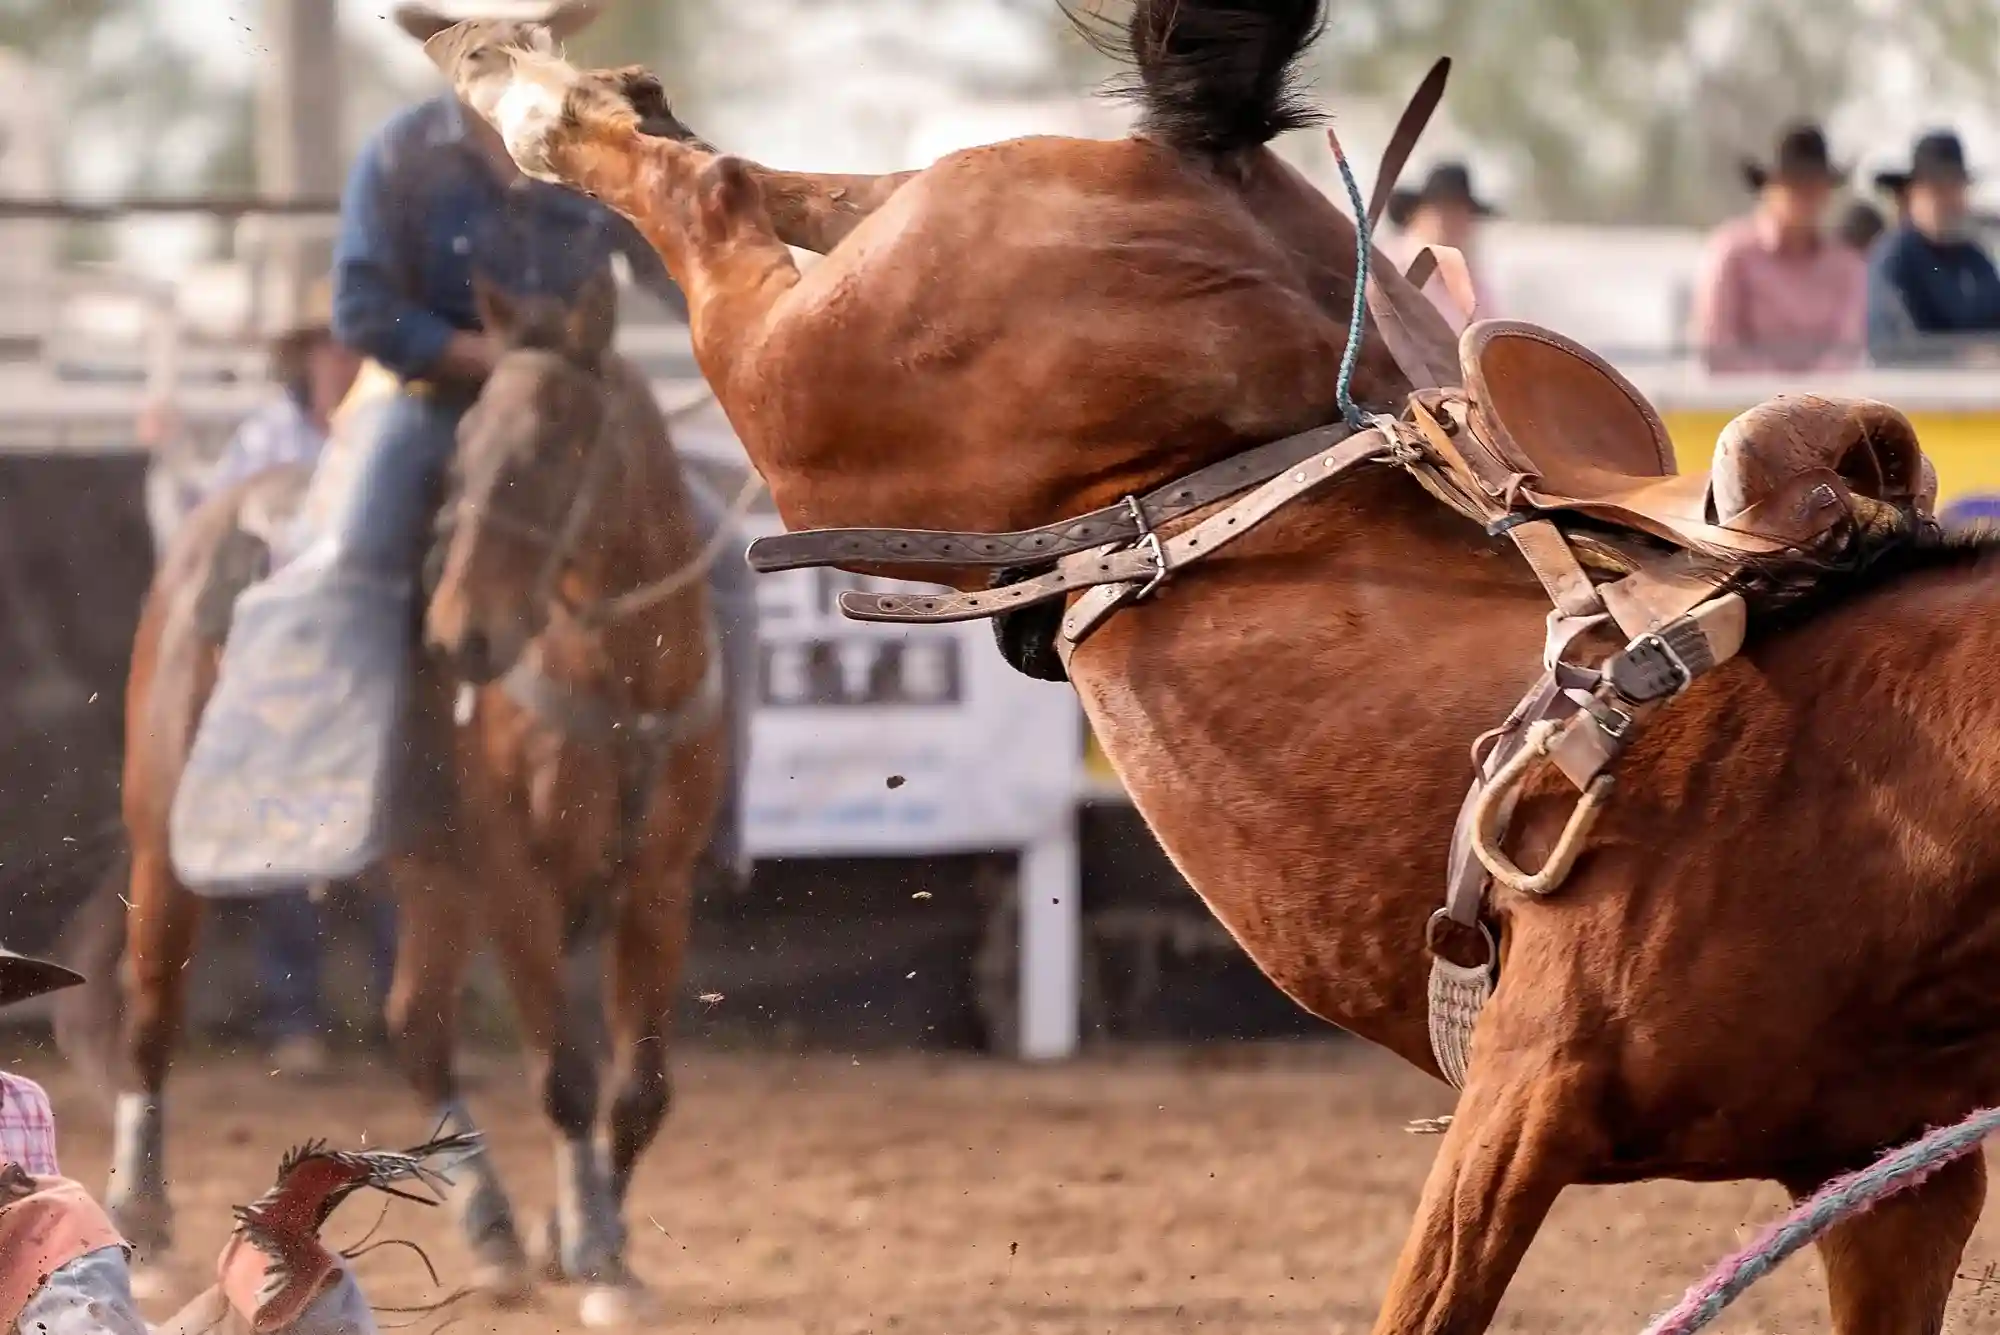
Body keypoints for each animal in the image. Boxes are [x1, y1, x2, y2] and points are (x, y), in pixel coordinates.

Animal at [61, 272, 726, 1327]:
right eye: (467, 450)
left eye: (555, 448)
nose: (462, 635)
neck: (618, 676)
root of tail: (218, 512)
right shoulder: (515, 880)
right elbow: (567, 1073)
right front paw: (587, 1246)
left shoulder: (661, 881)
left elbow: (642, 1087)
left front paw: (593, 1247)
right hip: (166, 842)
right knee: (151, 1017)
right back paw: (146, 1225)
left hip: (430, 879)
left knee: (416, 1025)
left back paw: (494, 1233)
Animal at [429, 4, 2000, 1333]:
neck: (1876, 790)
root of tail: (1212, 166)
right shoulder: (1513, 1107)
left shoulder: (1898, 1187)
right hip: (815, 390)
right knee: (697, 199)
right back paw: (515, 81)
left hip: (898, 272)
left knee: (772, 179)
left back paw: (550, 66)